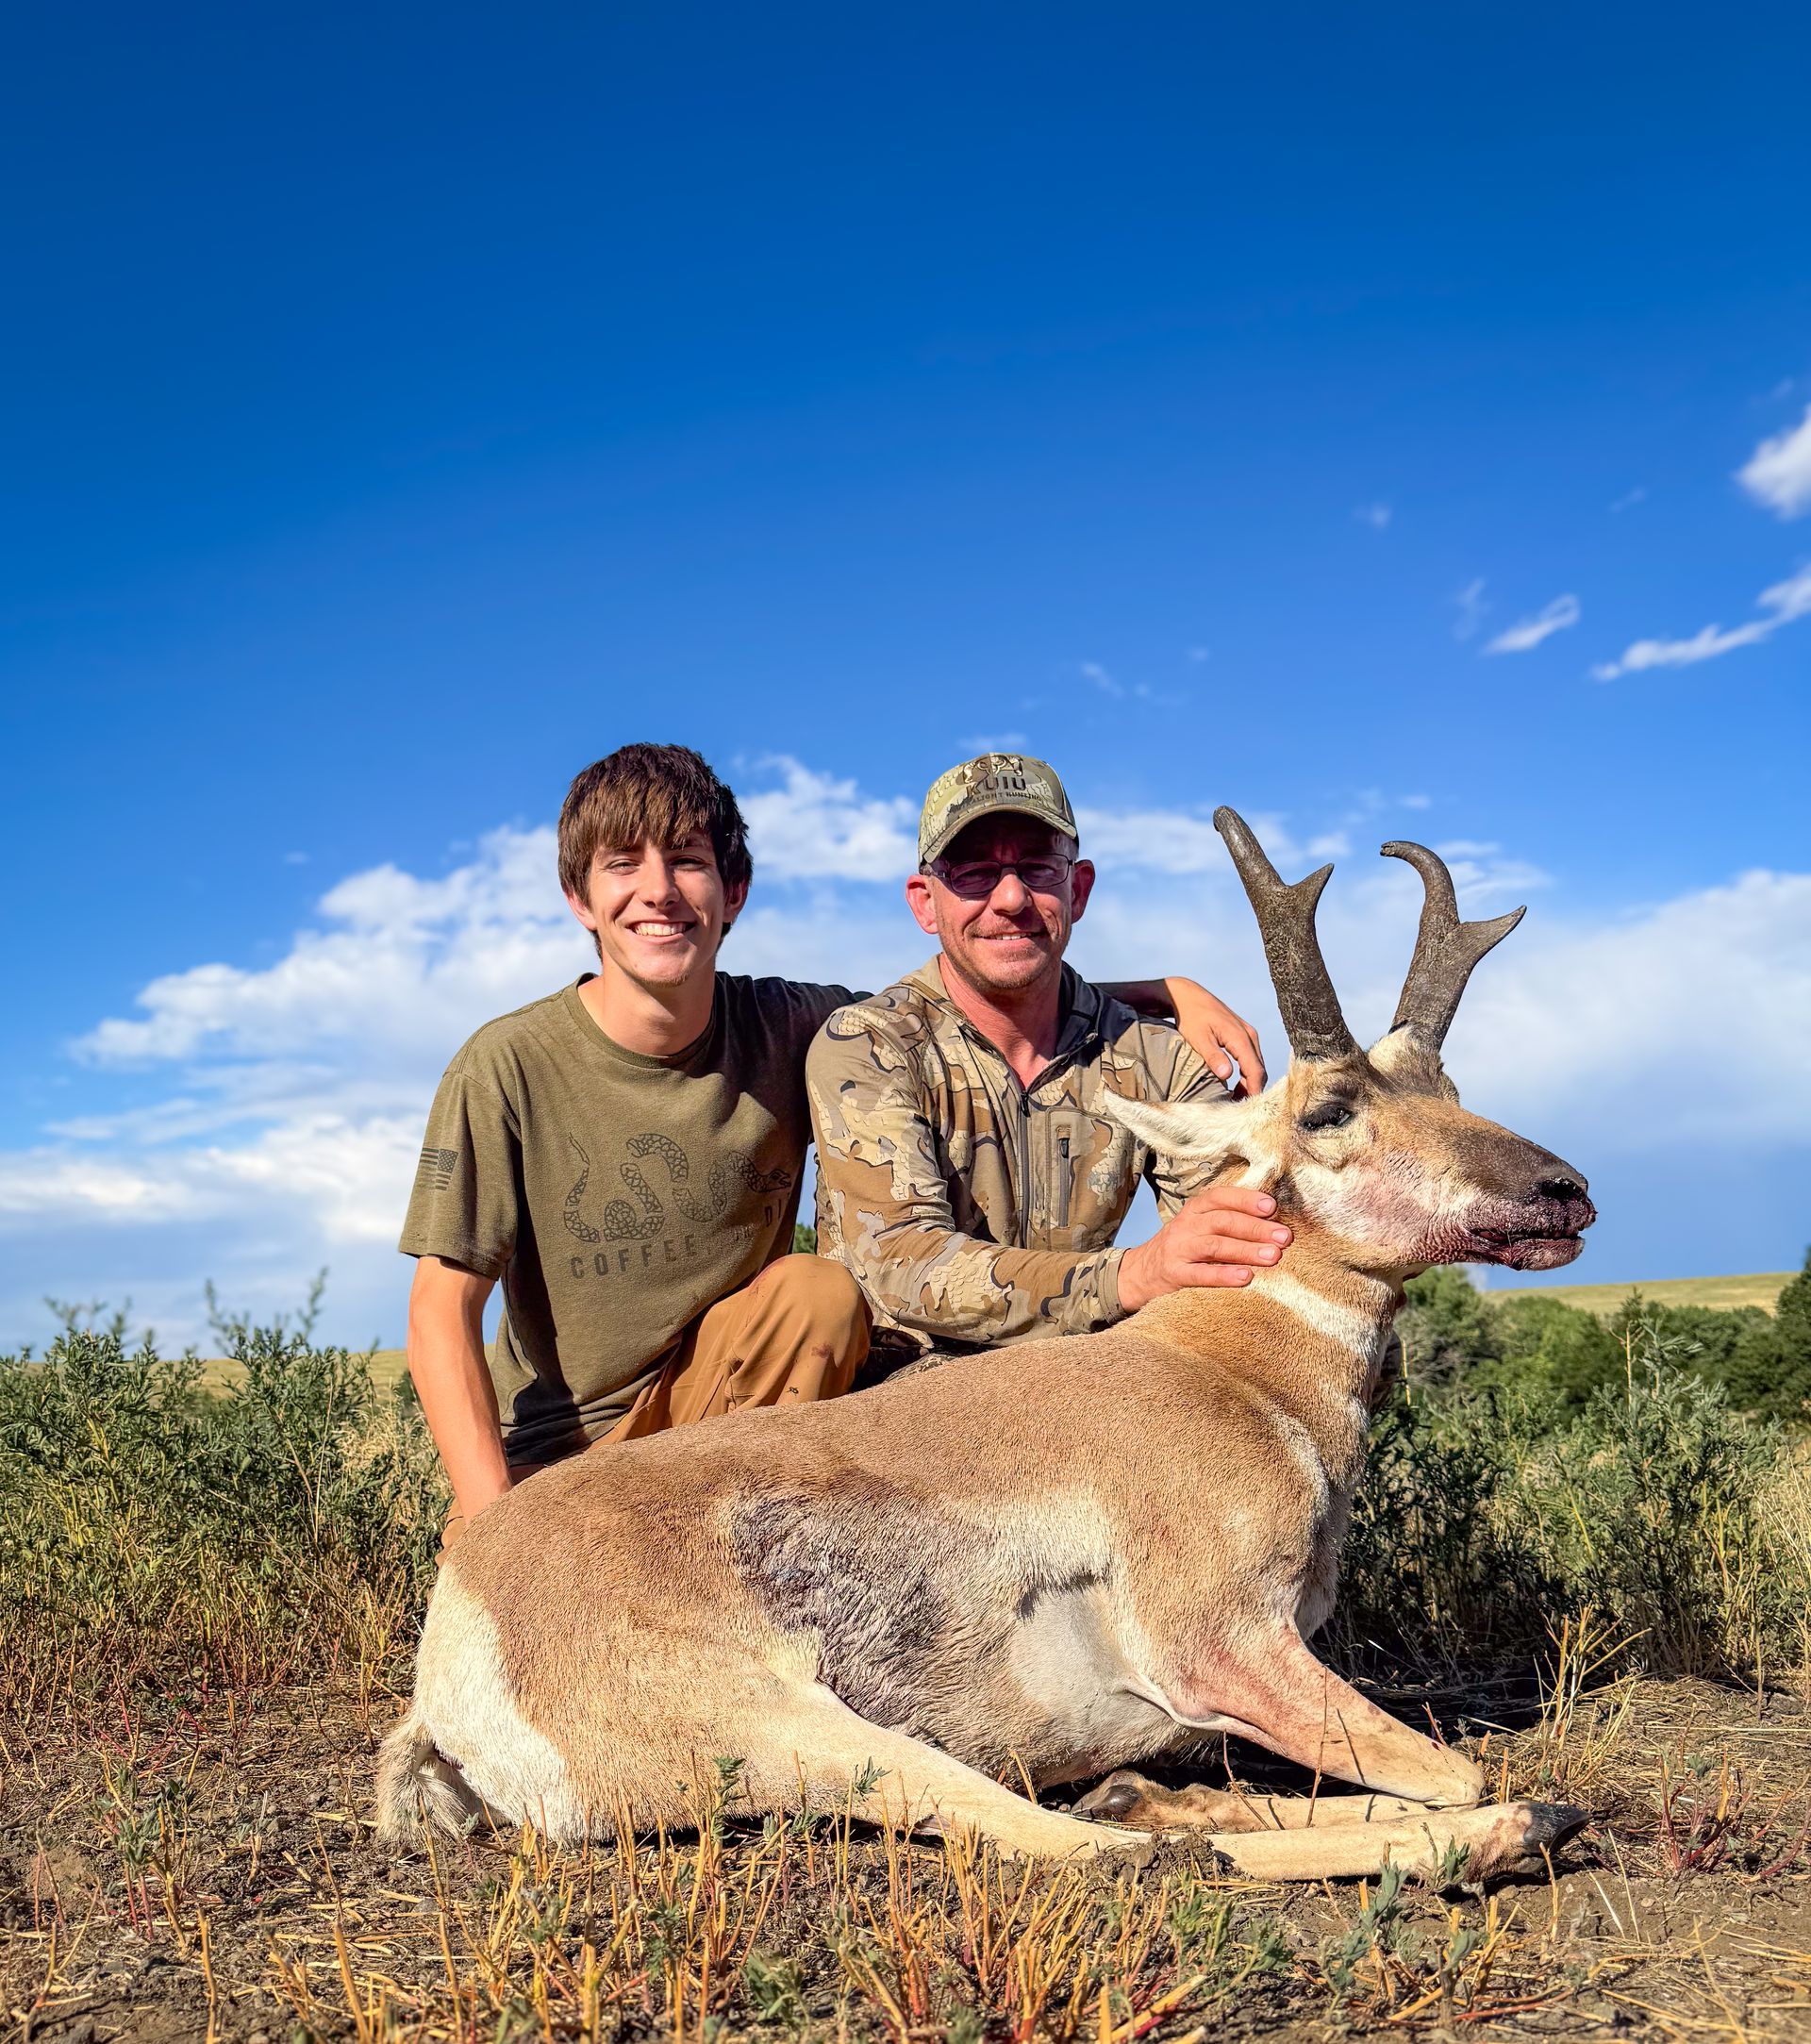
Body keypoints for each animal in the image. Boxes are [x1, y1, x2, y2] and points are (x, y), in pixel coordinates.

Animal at [376, 810, 1596, 1884]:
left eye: (1449, 1087)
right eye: (1331, 1109)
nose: (1565, 1190)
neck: (1225, 1365)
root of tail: (463, 1609)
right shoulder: (1223, 1648)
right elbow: (1456, 1767)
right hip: (812, 1732)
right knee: (1099, 1853)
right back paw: (1512, 1827)